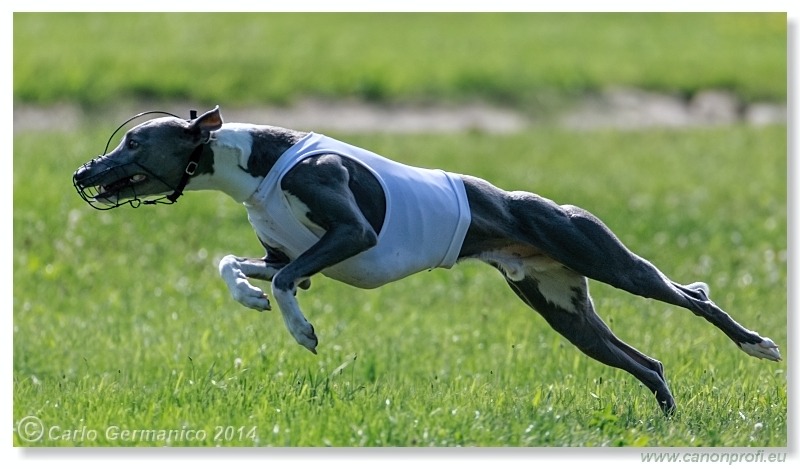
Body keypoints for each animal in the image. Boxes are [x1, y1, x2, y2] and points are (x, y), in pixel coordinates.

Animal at [72, 107, 780, 414]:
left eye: (133, 141)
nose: (83, 172)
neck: (255, 161)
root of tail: (538, 209)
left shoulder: (349, 233)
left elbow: (289, 280)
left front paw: (301, 330)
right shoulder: (285, 250)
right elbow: (242, 265)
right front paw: (249, 298)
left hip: (610, 261)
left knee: (693, 298)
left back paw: (758, 344)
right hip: (565, 313)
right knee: (647, 361)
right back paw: (667, 417)